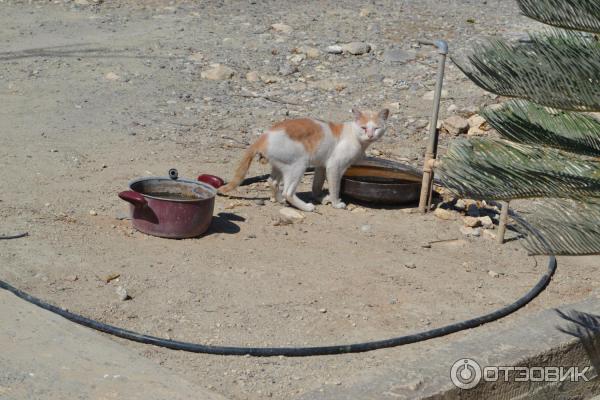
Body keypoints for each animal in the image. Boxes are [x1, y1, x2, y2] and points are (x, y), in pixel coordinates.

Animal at [219, 108, 390, 211]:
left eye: (376, 128)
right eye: (363, 128)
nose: (370, 135)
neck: (355, 137)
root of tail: (262, 137)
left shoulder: (321, 166)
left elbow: (317, 184)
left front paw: (320, 198)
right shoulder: (334, 166)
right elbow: (335, 187)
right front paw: (335, 203)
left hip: (281, 166)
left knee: (272, 182)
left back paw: (280, 200)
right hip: (299, 164)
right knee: (288, 192)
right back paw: (306, 207)